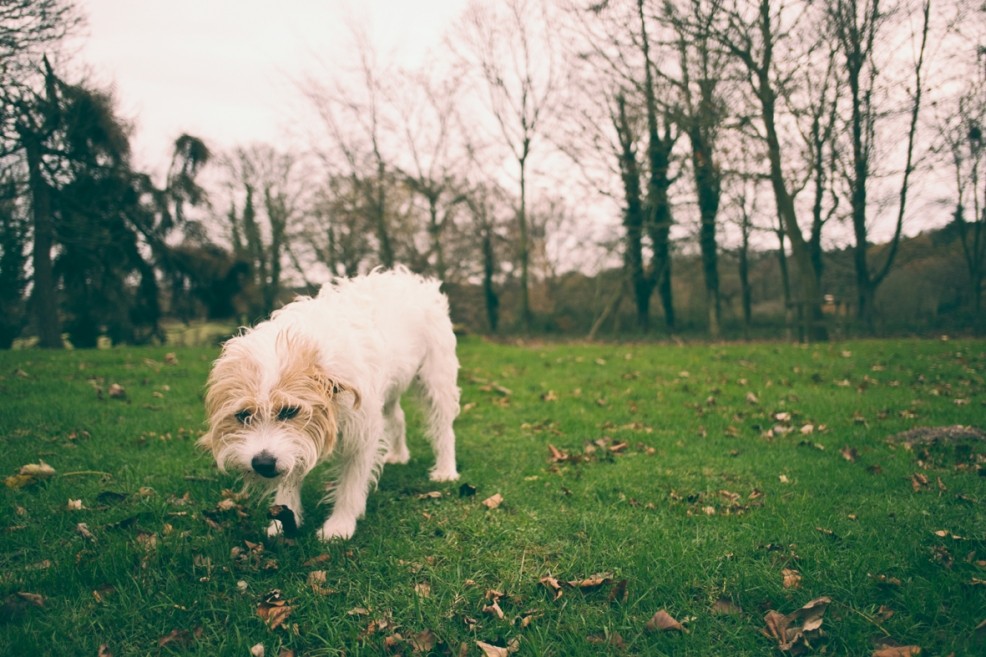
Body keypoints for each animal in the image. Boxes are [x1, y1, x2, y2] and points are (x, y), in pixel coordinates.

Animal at [203, 266, 462, 540]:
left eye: (290, 411)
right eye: (243, 415)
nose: (262, 464)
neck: (307, 344)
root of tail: (411, 278)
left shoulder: (361, 433)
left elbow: (350, 484)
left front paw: (339, 525)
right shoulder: (299, 440)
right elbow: (291, 471)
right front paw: (282, 519)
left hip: (437, 381)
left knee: (444, 428)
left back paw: (445, 470)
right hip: (391, 387)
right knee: (397, 418)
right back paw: (399, 454)